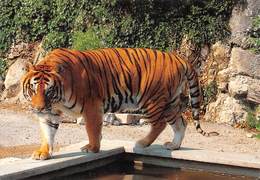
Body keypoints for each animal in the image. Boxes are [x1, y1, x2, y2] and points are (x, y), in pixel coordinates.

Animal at [21, 47, 217, 160]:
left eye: (49, 91)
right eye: (33, 89)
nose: (38, 108)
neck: (59, 98)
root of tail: (179, 58)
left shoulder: (92, 105)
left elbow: (92, 129)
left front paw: (92, 148)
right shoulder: (50, 112)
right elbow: (48, 132)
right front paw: (43, 153)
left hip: (151, 99)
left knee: (159, 124)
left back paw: (142, 143)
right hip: (171, 102)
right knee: (181, 123)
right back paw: (174, 146)